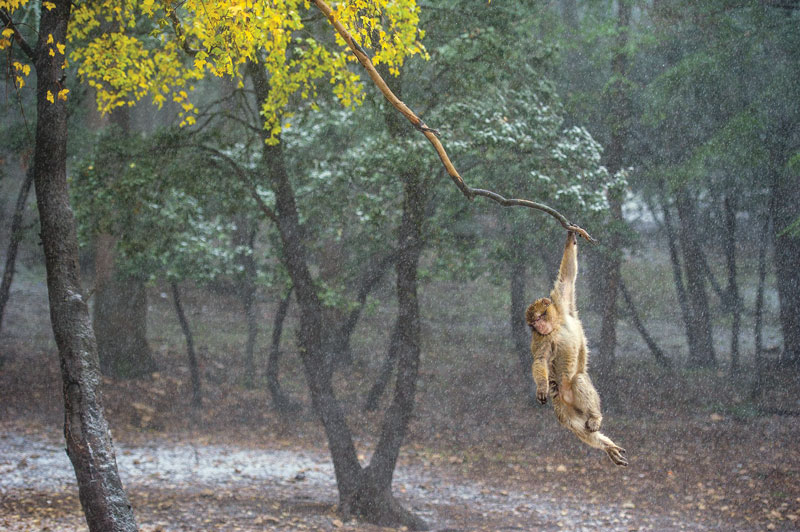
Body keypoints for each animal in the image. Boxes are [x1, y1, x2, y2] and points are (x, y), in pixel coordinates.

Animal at [524, 232, 632, 466]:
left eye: (539, 318)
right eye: (534, 324)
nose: (538, 326)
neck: (555, 325)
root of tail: (566, 397)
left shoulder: (562, 302)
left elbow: (567, 277)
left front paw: (571, 237)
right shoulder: (541, 339)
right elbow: (540, 359)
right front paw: (541, 386)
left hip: (574, 398)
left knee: (579, 379)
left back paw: (596, 419)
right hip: (562, 404)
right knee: (573, 423)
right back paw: (605, 445)